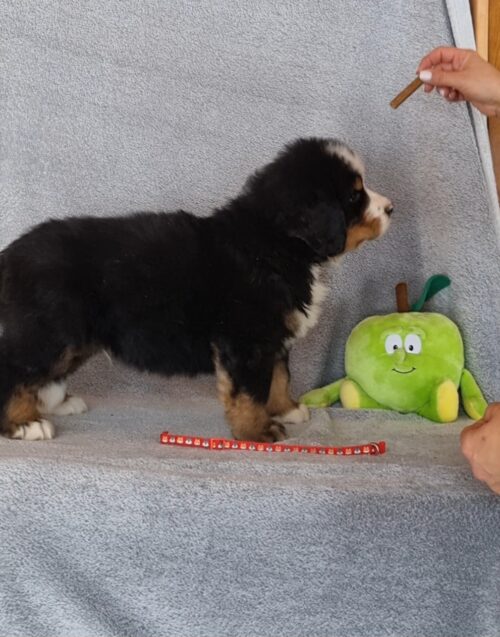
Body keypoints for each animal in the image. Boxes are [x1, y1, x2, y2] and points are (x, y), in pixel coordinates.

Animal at [0, 137, 392, 442]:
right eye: (354, 197)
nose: (391, 208)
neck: (274, 243)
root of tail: (12, 253)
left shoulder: (274, 337)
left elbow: (280, 377)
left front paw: (287, 409)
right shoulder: (247, 339)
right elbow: (250, 391)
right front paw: (257, 431)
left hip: (70, 338)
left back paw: (56, 404)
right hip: (51, 331)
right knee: (16, 369)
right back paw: (25, 424)